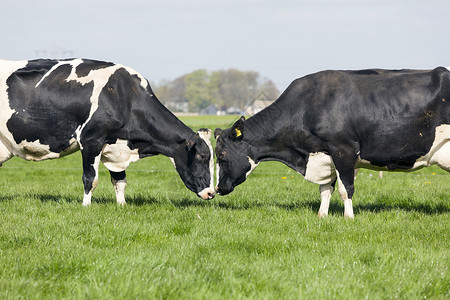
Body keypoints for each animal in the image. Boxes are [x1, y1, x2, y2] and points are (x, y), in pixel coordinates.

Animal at [0, 58, 215, 204]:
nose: (211, 192)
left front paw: (122, 205)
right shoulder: (91, 140)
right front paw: (86, 206)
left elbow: (120, 181)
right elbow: (90, 179)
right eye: (202, 157)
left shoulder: (115, 147)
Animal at [214, 67, 450, 218]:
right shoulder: (324, 154)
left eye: (221, 155)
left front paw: (349, 218)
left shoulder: (343, 150)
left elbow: (346, 189)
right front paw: (322, 216)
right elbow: (325, 189)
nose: (217, 188)